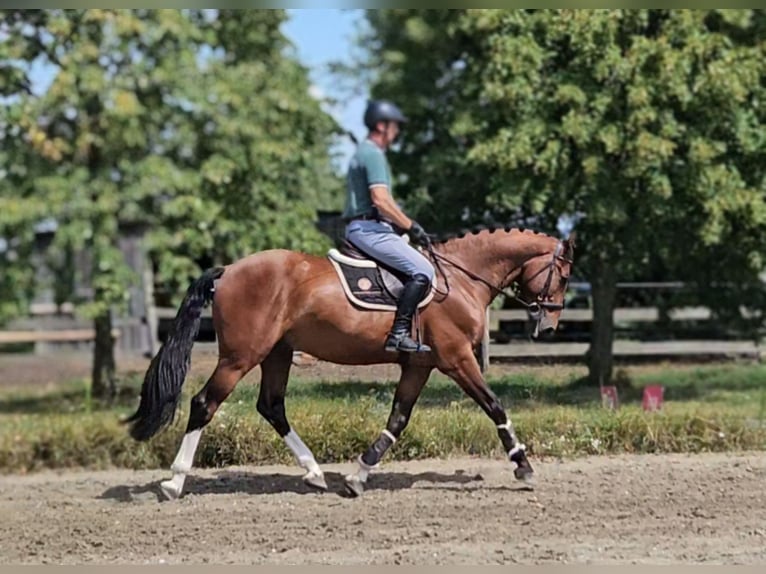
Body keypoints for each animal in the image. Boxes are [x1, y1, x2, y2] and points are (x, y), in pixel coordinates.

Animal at [124, 225, 576, 500]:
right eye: (564, 275)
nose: (551, 323)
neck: (462, 279)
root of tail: (230, 270)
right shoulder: (457, 359)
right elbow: (495, 407)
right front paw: (523, 465)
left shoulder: (420, 366)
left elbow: (397, 419)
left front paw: (358, 476)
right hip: (240, 356)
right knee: (205, 404)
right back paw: (175, 481)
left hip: (277, 354)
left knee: (271, 406)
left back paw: (314, 472)